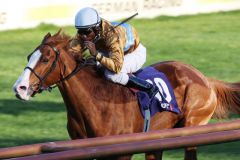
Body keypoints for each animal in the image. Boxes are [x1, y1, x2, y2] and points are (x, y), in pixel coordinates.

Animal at [12, 30, 240, 159]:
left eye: (45, 59)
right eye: (29, 56)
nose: (19, 88)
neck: (93, 103)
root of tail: (205, 78)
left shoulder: (121, 151)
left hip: (192, 126)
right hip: (158, 138)